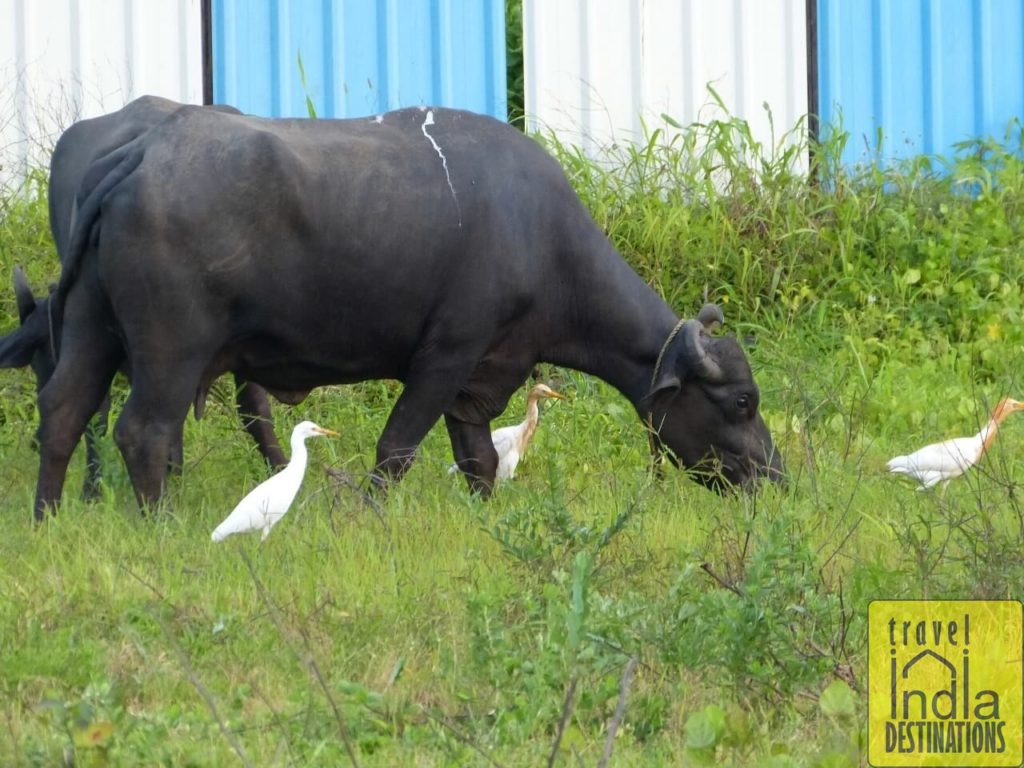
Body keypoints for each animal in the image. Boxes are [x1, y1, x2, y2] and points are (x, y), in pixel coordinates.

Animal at [29, 105, 783, 519]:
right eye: (741, 402)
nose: (773, 476)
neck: (538, 236)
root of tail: (139, 153)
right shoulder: (445, 356)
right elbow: (396, 450)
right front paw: (367, 515)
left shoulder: (483, 376)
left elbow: (480, 460)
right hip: (171, 350)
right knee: (145, 433)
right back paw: (157, 521)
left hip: (92, 329)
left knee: (62, 414)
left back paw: (47, 517)